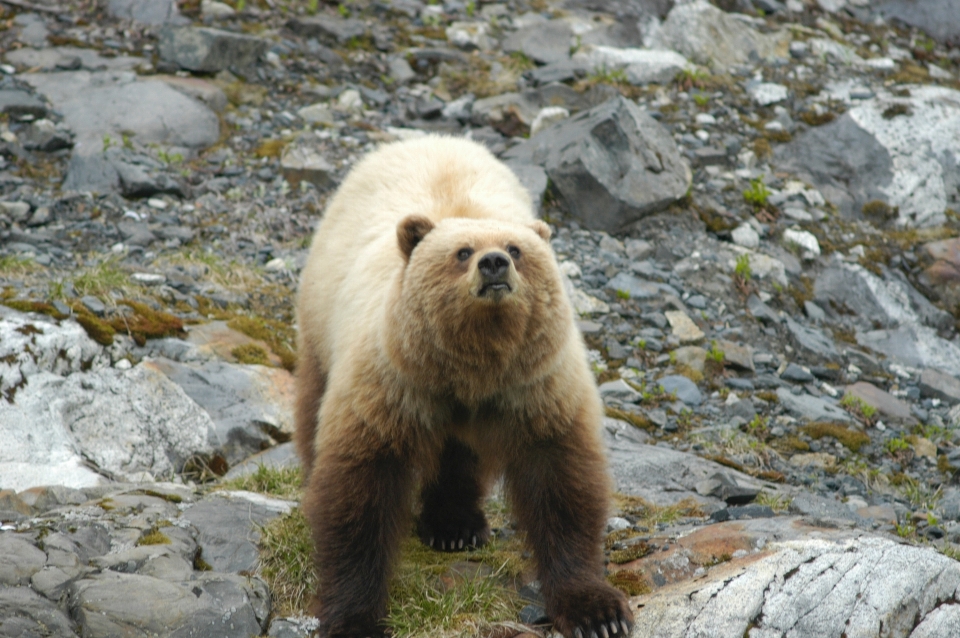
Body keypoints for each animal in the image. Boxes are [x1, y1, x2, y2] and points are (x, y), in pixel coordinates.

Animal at [296, 136, 632, 638]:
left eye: (515, 248)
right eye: (461, 251)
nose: (493, 263)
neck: (474, 365)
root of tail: (427, 137)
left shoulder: (536, 388)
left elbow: (561, 482)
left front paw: (598, 611)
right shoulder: (392, 384)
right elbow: (360, 491)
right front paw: (355, 619)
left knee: (459, 454)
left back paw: (456, 525)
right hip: (321, 316)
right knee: (313, 402)